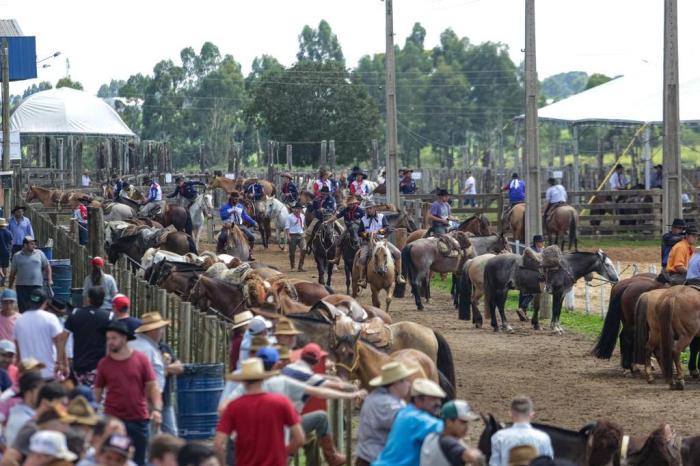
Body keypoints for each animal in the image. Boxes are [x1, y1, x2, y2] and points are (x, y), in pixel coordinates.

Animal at [482, 251, 616, 332]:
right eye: (607, 264)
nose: (616, 279)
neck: (567, 268)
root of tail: (489, 261)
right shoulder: (558, 292)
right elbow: (555, 310)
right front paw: (555, 328)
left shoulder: (562, 294)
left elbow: (558, 310)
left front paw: (558, 327)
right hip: (501, 289)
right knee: (499, 306)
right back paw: (507, 326)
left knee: (492, 304)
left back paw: (495, 326)